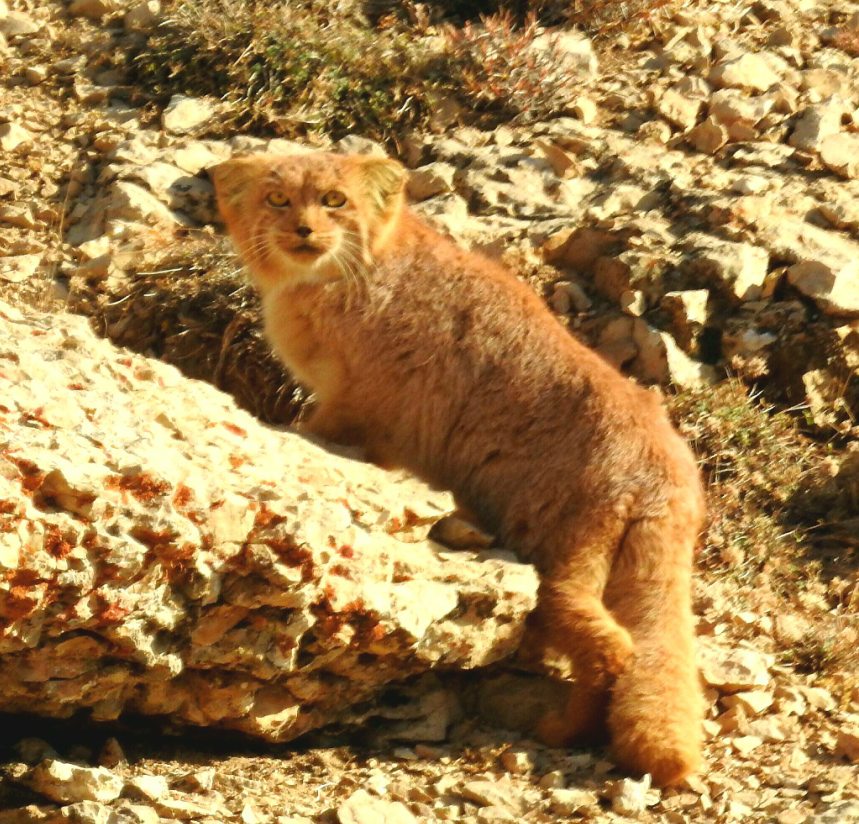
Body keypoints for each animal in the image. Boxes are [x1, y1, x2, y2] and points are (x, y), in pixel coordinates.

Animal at [213, 150, 704, 784]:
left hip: (558, 560)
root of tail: (670, 476)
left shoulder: (353, 407)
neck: (348, 276)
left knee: (611, 647)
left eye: (334, 200)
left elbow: (320, 432)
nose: (303, 229)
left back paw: (559, 731)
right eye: (277, 199)